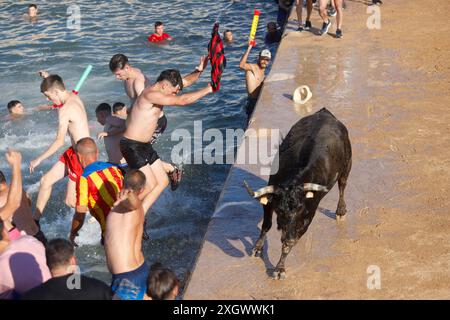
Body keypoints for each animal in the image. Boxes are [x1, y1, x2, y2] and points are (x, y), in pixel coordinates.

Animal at [246, 109, 352, 278]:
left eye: (300, 210)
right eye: (280, 211)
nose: (289, 237)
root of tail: (325, 112)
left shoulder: (308, 214)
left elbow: (288, 245)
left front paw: (280, 268)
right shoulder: (269, 202)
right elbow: (266, 225)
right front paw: (257, 248)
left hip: (347, 165)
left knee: (342, 186)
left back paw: (340, 211)